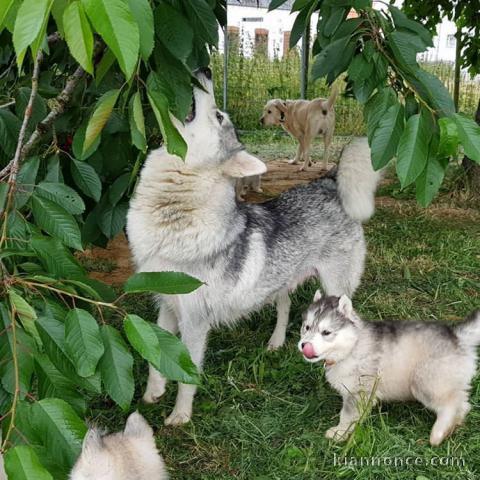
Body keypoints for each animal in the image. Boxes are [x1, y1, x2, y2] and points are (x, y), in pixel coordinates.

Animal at [127, 66, 382, 424]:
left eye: (219, 116)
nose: (204, 69)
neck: (175, 214)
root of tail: (328, 181)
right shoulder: (166, 307)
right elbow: (155, 358)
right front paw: (154, 392)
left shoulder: (195, 323)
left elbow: (188, 376)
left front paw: (180, 415)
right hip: (278, 282)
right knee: (285, 307)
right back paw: (276, 342)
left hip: (335, 287)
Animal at [298, 292, 478, 446]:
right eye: (306, 327)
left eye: (326, 332)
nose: (304, 345)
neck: (352, 346)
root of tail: (457, 336)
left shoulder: (359, 391)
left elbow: (347, 415)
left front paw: (339, 433)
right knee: (463, 404)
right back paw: (452, 427)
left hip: (426, 381)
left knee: (451, 403)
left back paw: (438, 433)